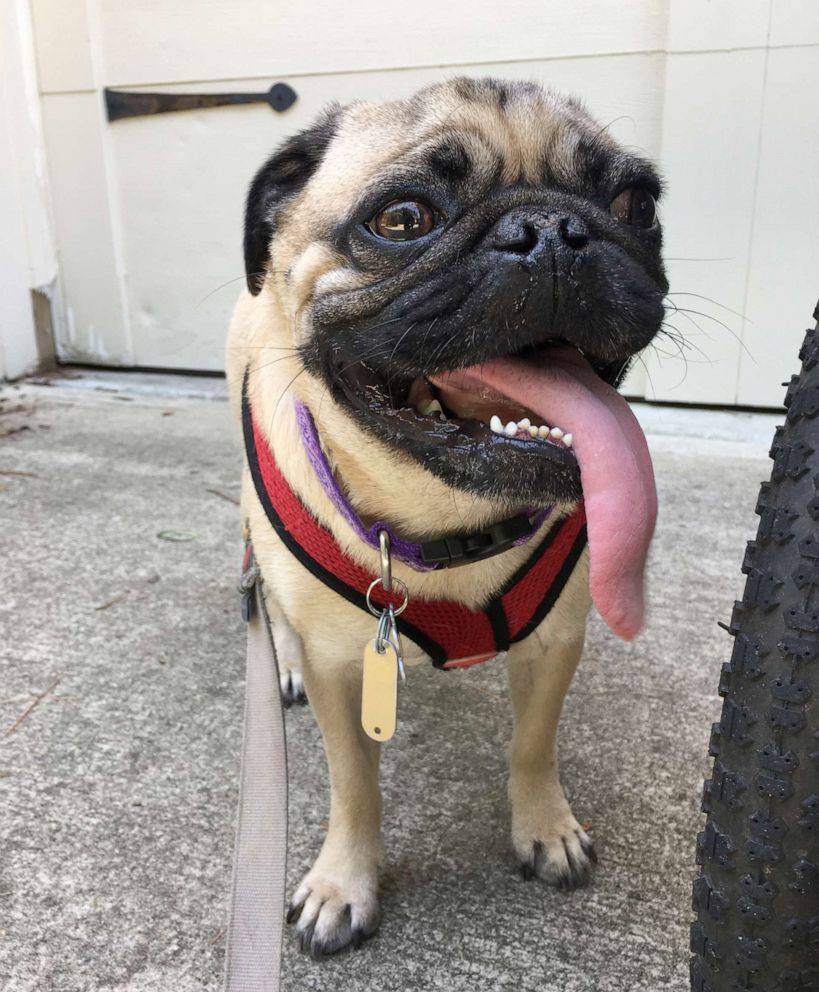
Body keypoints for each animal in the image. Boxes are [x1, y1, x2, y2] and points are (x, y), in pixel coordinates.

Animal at [224, 73, 668, 956]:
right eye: (402, 219)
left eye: (636, 204)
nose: (550, 230)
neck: (452, 519)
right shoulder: (340, 669)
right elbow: (354, 784)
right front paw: (343, 882)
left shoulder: (555, 642)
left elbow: (533, 745)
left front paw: (544, 827)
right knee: (270, 605)